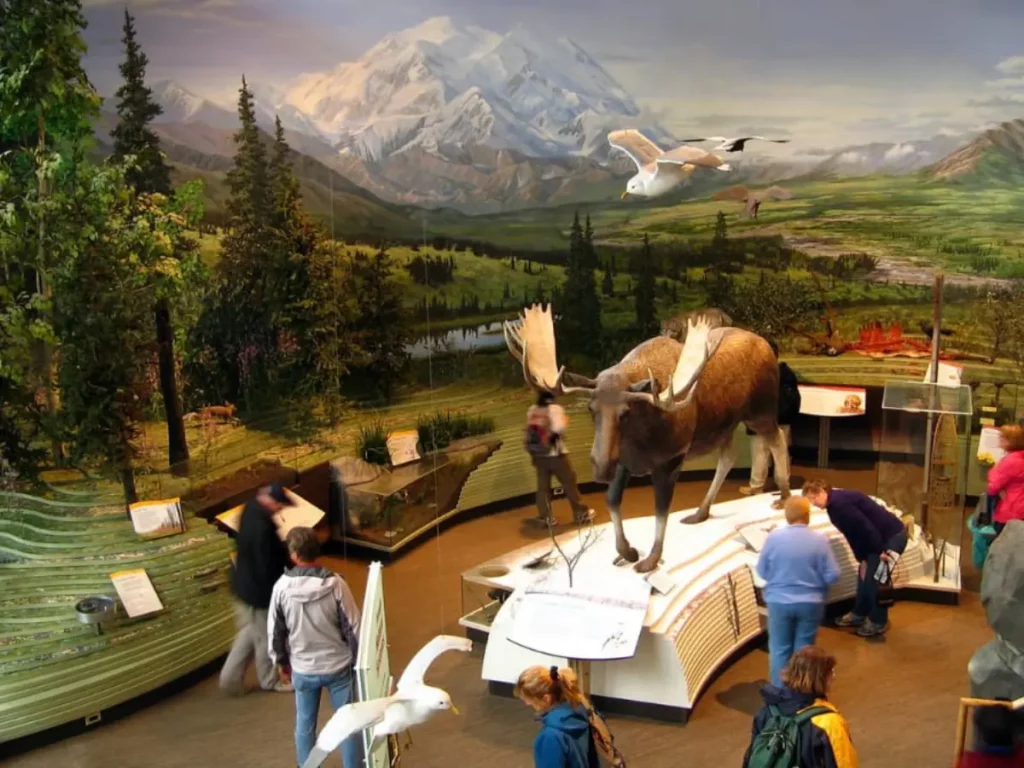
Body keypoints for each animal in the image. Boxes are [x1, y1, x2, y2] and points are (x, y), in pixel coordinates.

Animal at [505, 303, 790, 573]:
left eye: (625, 412)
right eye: (590, 408)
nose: (600, 467)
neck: (641, 437)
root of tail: (766, 345)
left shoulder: (672, 457)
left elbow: (661, 509)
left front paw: (651, 559)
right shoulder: (623, 461)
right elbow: (612, 500)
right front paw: (628, 551)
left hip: (760, 411)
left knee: (777, 439)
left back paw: (785, 495)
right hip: (724, 425)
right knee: (729, 456)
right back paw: (700, 512)